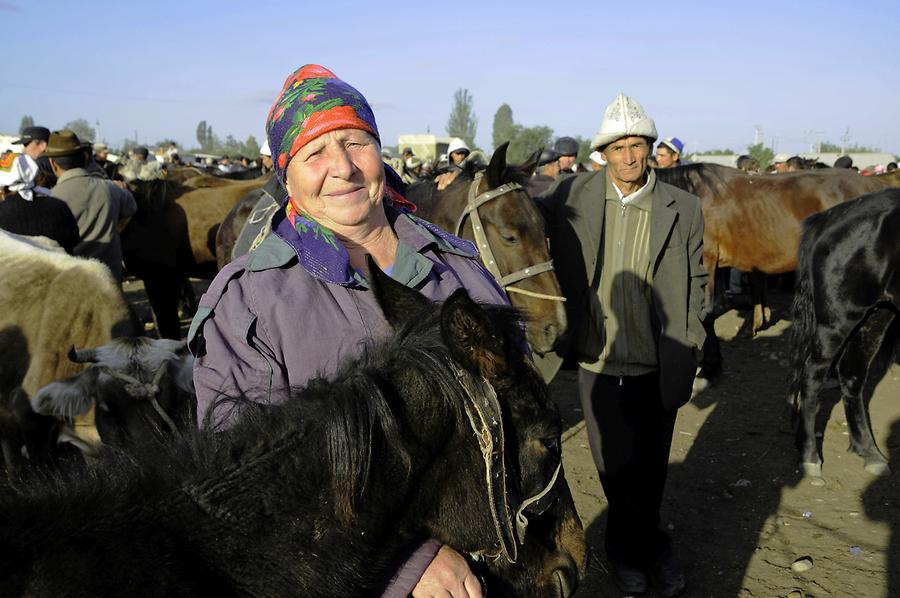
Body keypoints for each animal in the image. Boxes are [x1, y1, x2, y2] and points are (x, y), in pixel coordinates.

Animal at [792, 190, 896, 480]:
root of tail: (826, 218)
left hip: (878, 313)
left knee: (853, 374)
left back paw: (869, 452)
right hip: (839, 318)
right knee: (813, 375)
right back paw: (810, 456)